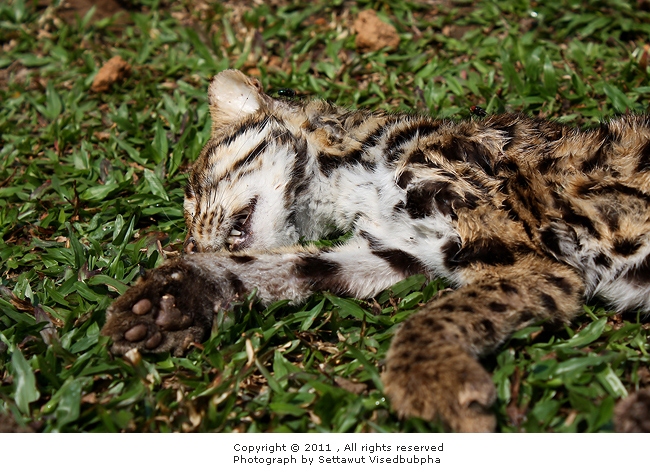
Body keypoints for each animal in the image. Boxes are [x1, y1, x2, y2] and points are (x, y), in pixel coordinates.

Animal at [101, 69, 648, 432]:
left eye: (195, 191)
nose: (191, 240)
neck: (358, 178)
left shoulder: (531, 262)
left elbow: (432, 316)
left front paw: (432, 381)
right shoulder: (394, 251)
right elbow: (281, 266)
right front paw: (174, 297)